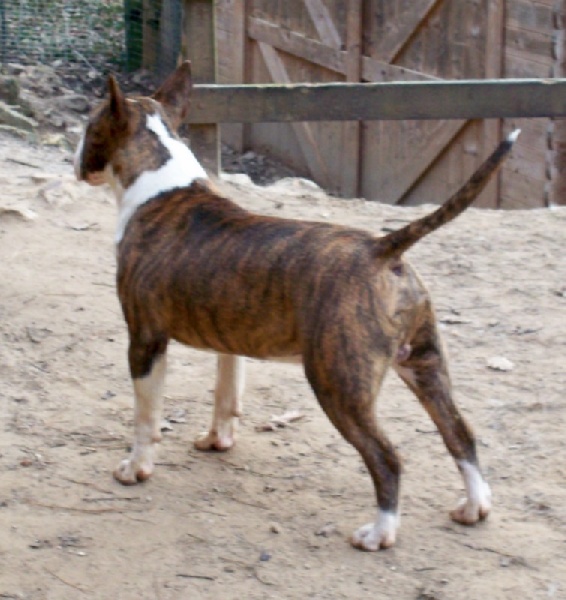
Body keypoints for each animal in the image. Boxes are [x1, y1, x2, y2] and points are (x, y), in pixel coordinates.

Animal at [74, 61, 519, 551]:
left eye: (89, 126)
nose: (75, 159)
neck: (162, 184)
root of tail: (383, 248)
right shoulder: (229, 336)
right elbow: (226, 394)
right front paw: (217, 441)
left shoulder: (145, 339)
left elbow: (145, 417)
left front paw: (135, 469)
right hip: (425, 366)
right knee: (460, 434)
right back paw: (474, 507)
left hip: (338, 385)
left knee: (387, 458)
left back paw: (380, 532)